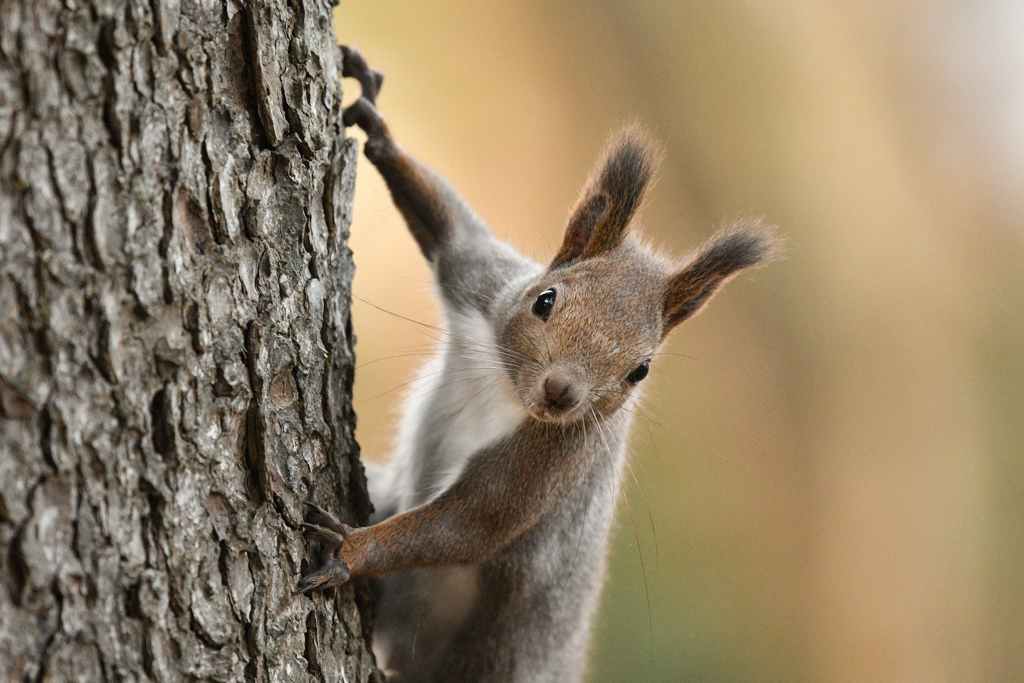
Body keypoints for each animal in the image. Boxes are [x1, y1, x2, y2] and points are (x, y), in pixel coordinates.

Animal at [299, 45, 778, 679]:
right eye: (544, 300)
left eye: (640, 371)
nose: (561, 393)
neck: (505, 386)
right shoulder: (482, 278)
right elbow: (449, 227)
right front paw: (380, 130)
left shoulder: (551, 462)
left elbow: (468, 525)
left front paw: (349, 551)